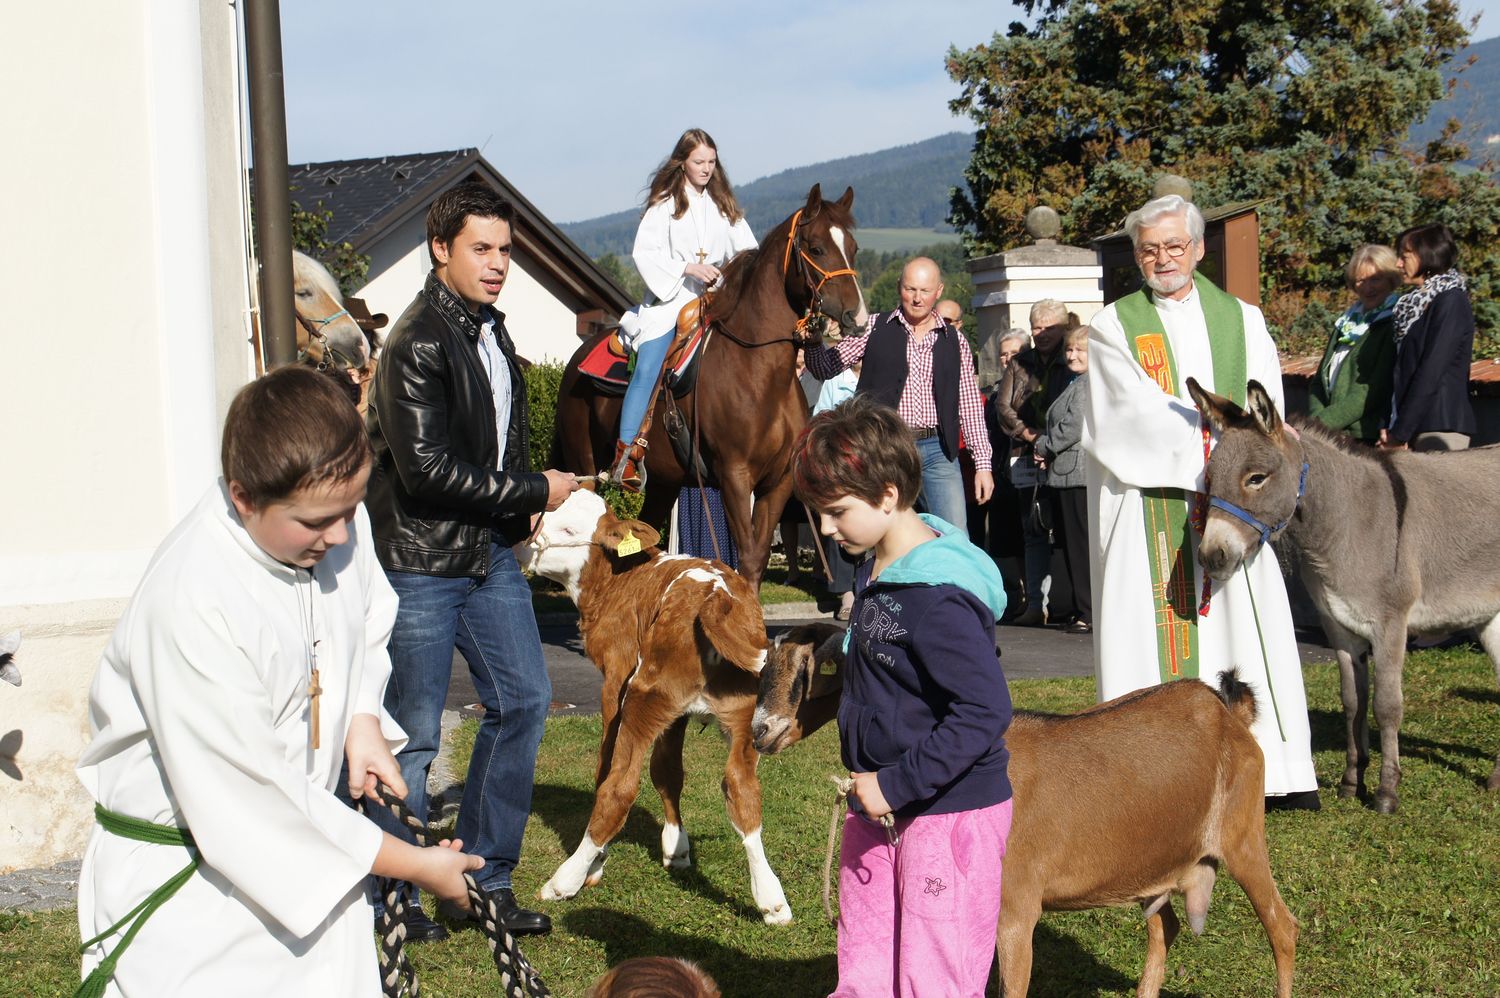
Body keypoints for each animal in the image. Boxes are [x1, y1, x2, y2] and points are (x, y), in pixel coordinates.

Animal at [553, 184, 867, 587]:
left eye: (853, 247)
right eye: (815, 248)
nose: (857, 316)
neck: (760, 371)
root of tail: (577, 358)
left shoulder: (778, 482)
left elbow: (757, 558)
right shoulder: (734, 476)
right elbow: (746, 558)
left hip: (663, 482)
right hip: (585, 466)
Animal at [753, 622, 1297, 997]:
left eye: (806, 674)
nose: (760, 731)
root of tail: (1226, 712)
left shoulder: (1015, 908)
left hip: (1243, 836)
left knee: (1282, 927)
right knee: (1166, 926)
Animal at [1186, 377, 1500, 814]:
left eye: (1256, 478)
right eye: (1209, 479)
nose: (1211, 555)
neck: (1349, 521)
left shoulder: (1390, 626)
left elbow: (1386, 705)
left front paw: (1386, 793)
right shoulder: (1339, 626)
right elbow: (1353, 702)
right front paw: (1353, 782)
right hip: (1489, 618)